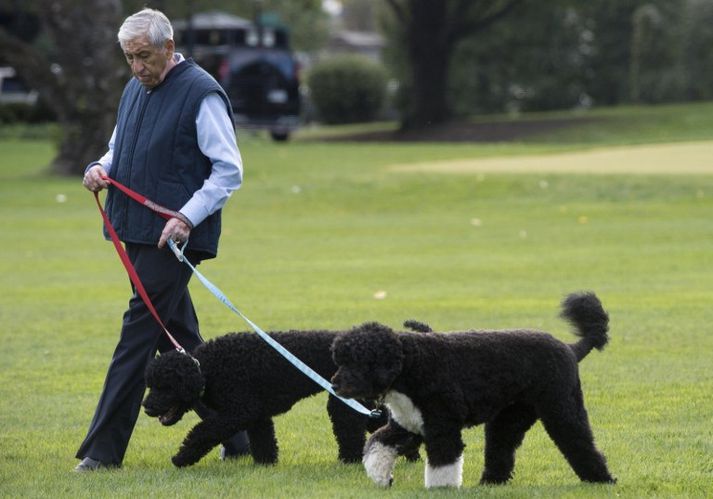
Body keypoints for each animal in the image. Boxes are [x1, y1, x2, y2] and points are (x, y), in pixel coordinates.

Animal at [142, 324, 426, 468]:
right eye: (150, 384)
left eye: (165, 386)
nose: (146, 408)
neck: (207, 369)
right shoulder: (257, 414)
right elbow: (263, 440)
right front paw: (266, 464)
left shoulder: (239, 411)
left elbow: (202, 432)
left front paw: (181, 458)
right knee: (384, 422)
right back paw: (410, 456)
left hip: (344, 404)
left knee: (354, 431)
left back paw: (350, 461)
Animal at [330, 292, 616, 490]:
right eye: (339, 359)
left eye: (356, 361)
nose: (334, 384)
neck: (411, 366)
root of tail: (571, 348)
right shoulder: (407, 425)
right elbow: (376, 445)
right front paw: (382, 477)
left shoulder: (442, 427)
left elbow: (443, 463)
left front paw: (441, 490)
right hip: (510, 417)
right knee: (501, 448)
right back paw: (491, 483)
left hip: (562, 408)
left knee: (580, 442)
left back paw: (602, 480)